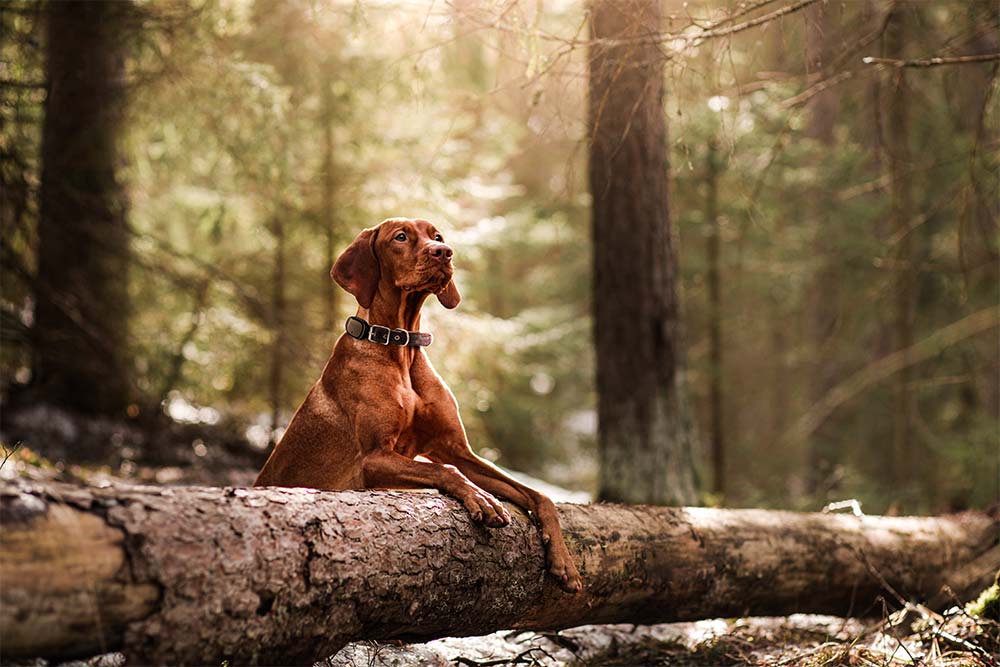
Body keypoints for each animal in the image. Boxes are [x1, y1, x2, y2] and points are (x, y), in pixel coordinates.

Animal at [254, 217, 584, 592]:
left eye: (436, 236)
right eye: (400, 237)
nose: (444, 252)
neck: (400, 348)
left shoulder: (457, 450)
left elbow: (537, 495)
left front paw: (565, 563)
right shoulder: (373, 459)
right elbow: (445, 470)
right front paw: (481, 498)